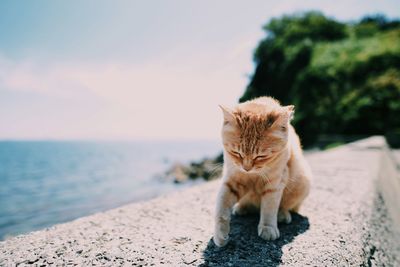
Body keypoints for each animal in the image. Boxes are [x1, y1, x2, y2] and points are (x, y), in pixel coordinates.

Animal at [212, 96, 312, 247]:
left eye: (261, 156)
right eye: (237, 153)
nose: (246, 168)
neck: (253, 175)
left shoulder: (274, 185)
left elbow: (269, 207)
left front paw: (268, 227)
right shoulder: (231, 180)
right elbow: (221, 207)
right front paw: (220, 233)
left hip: (303, 184)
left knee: (287, 206)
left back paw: (282, 215)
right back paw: (242, 208)